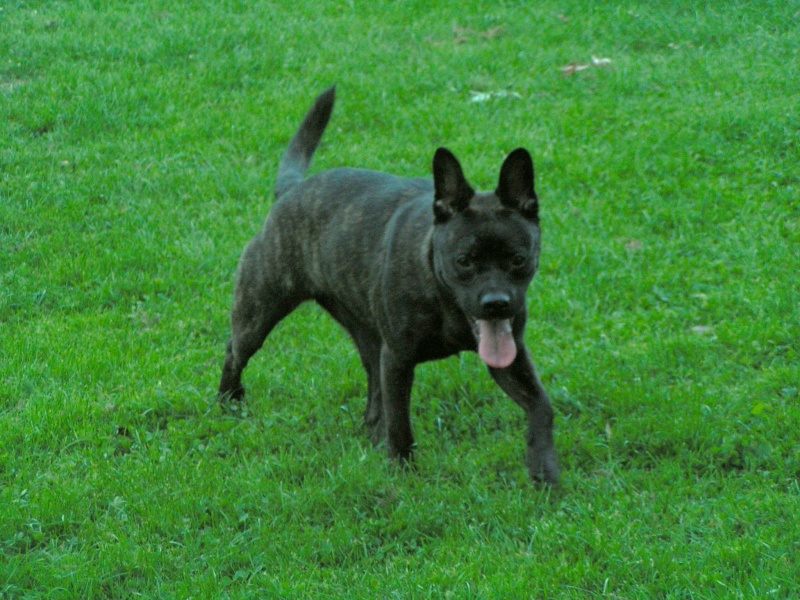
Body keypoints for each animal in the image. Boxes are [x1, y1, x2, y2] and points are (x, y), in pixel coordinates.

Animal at [216, 86, 560, 486]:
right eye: (464, 261)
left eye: (518, 259)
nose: (496, 303)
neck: (443, 297)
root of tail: (291, 191)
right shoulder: (398, 360)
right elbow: (401, 424)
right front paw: (403, 472)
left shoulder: (511, 358)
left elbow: (541, 405)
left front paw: (544, 470)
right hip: (259, 311)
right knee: (235, 352)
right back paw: (229, 402)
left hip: (365, 332)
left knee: (372, 385)